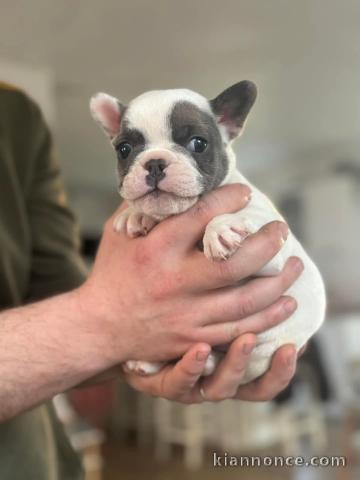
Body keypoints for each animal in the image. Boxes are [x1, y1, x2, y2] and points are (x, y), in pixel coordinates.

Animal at [90, 81, 326, 382]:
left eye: (198, 143)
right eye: (124, 149)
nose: (154, 162)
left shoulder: (274, 248)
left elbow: (251, 216)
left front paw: (221, 229)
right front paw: (136, 214)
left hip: (265, 347)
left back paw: (208, 363)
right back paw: (150, 362)